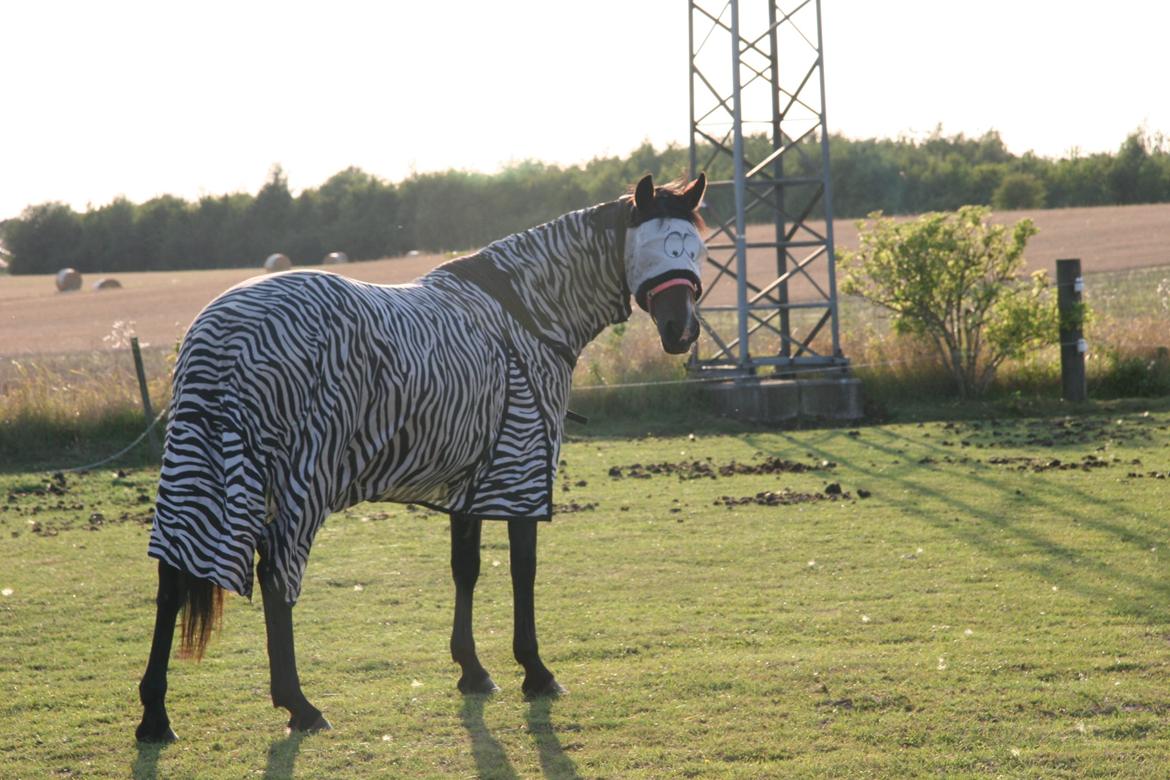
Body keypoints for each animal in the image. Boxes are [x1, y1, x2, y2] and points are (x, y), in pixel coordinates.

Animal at [134, 174, 702, 743]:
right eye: (657, 246)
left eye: (696, 247)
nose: (683, 331)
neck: (526, 313)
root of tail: (216, 335)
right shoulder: (520, 469)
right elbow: (523, 570)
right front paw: (536, 671)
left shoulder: (472, 479)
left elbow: (466, 568)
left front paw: (473, 670)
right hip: (295, 482)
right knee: (275, 577)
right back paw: (299, 705)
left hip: (196, 470)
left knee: (171, 583)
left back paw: (155, 715)